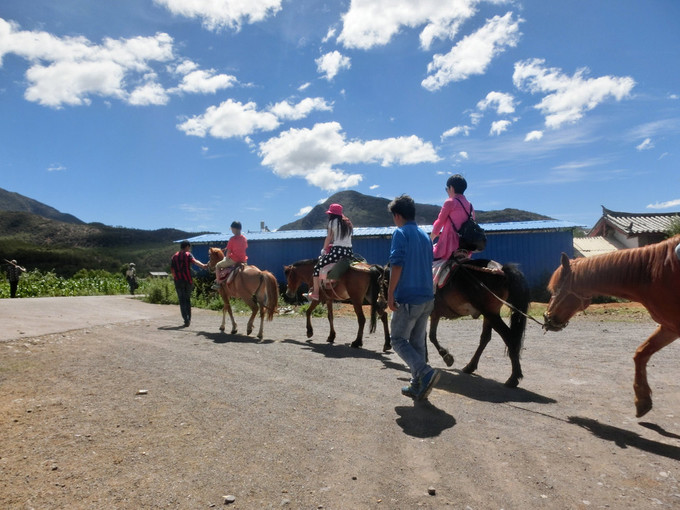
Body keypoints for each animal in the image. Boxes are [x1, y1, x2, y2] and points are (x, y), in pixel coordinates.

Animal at [424, 258, 532, 386]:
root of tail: (502, 271)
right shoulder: (433, 314)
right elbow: (430, 335)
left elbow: (427, 336)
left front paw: (445, 357)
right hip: (489, 314)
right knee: (486, 338)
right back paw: (470, 366)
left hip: (491, 314)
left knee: (508, 337)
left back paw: (513, 378)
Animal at [544, 235, 680, 418]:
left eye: (556, 288)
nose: (547, 318)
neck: (653, 271)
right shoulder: (670, 327)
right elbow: (641, 354)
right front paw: (642, 400)